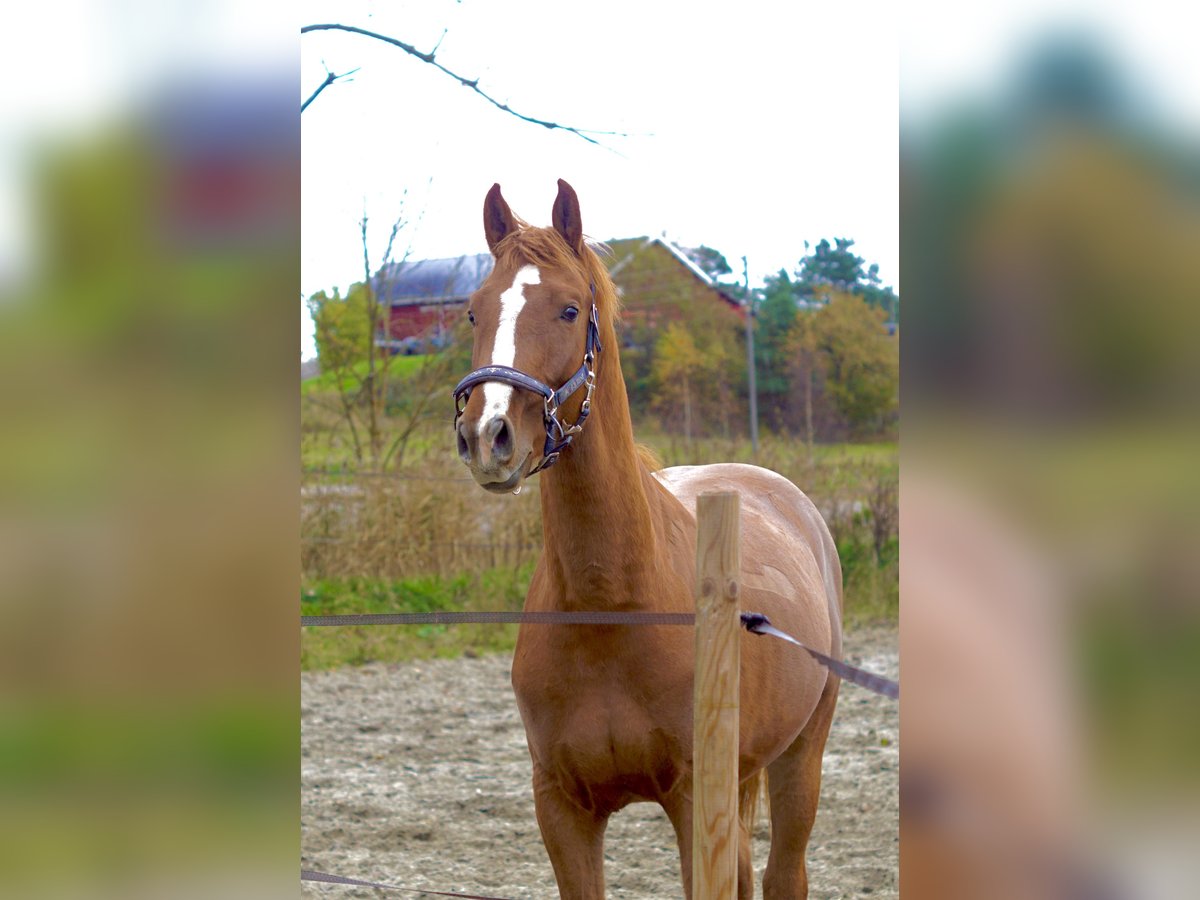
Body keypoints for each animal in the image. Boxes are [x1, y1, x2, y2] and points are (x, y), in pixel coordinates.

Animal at [453, 179, 842, 899]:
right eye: (473, 313)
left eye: (569, 309)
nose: (487, 436)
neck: (610, 604)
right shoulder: (562, 808)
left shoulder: (692, 802)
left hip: (801, 755)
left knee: (784, 873)